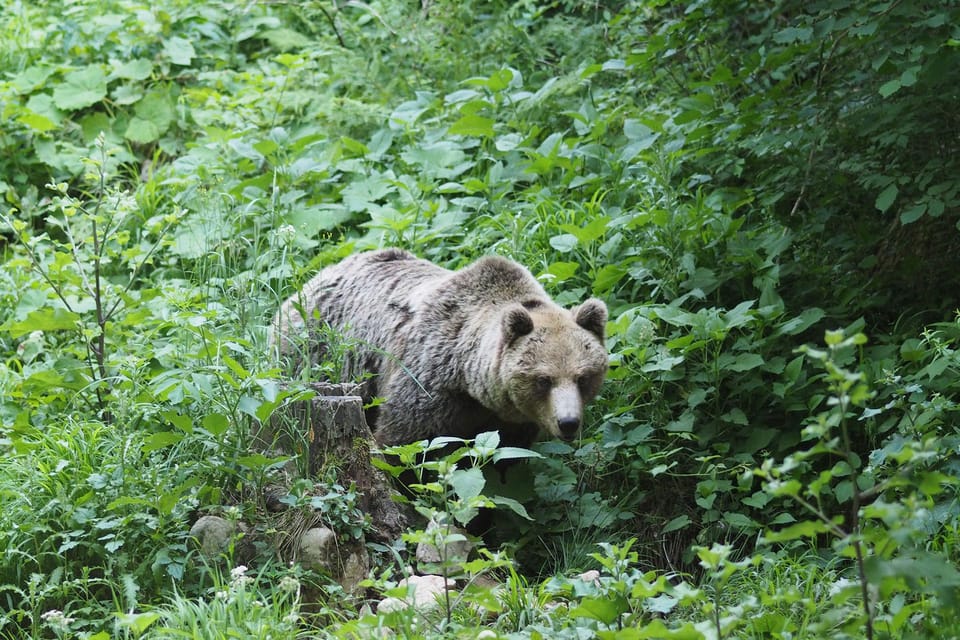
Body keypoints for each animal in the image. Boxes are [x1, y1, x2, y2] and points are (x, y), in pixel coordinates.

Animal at [272, 248, 608, 448]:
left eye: (583, 377)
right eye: (543, 379)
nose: (568, 422)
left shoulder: (508, 422)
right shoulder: (427, 383)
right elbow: (405, 443)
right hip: (318, 353)